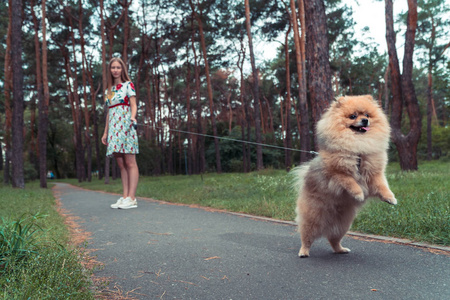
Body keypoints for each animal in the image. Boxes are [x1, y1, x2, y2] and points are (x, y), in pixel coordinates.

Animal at [296, 95, 398, 258]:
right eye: (353, 116)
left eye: (367, 114)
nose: (365, 120)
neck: (358, 149)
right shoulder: (336, 174)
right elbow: (350, 181)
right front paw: (358, 194)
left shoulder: (375, 174)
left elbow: (383, 186)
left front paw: (391, 199)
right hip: (312, 219)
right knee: (306, 237)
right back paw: (304, 252)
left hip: (343, 225)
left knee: (333, 239)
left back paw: (341, 249)